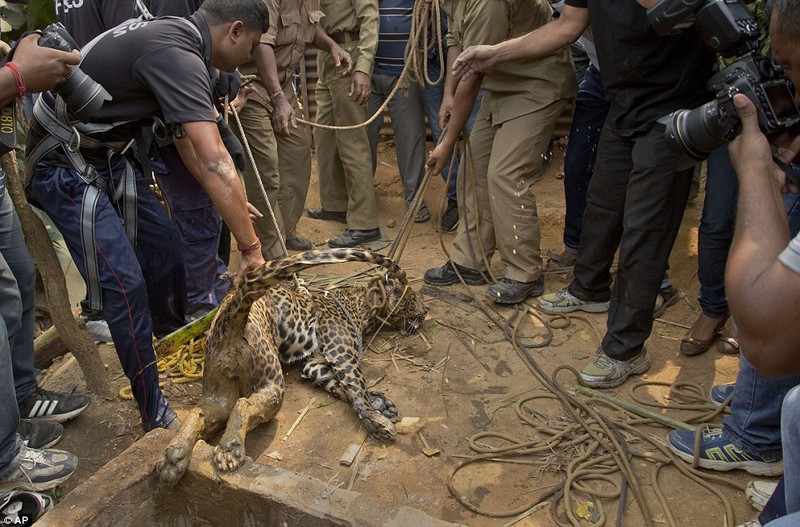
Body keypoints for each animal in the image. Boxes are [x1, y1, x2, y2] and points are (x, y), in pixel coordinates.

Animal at [159, 250, 428, 484]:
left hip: (219, 388)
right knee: (244, 404)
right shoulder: (341, 351)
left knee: (203, 411)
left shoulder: (314, 365)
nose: (426, 312)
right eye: (413, 299)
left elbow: (342, 387)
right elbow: (357, 387)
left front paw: (381, 405)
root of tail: (228, 318)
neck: (364, 304)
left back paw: (174, 457)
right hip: (271, 381)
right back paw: (229, 450)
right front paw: (376, 418)